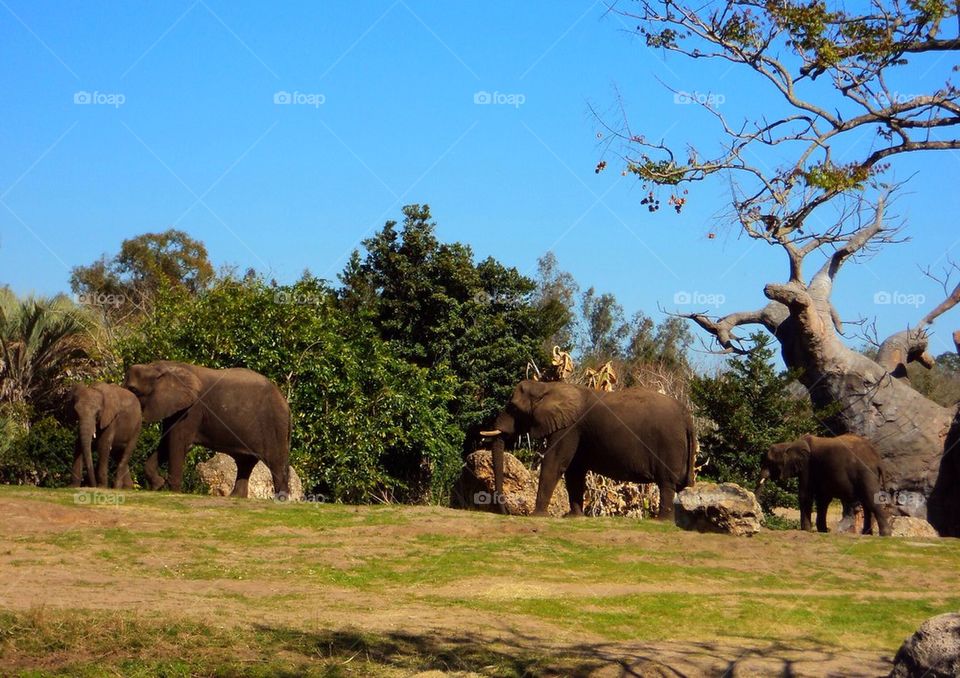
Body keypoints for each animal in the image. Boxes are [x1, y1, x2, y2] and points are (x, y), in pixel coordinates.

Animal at [124, 362, 290, 500]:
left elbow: (178, 443)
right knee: (246, 462)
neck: (158, 366)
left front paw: (173, 492)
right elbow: (166, 442)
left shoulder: (192, 410)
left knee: (276, 463)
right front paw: (157, 485)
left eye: (133, 390)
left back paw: (281, 500)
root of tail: (286, 404)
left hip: (274, 427)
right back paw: (235, 497)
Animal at [480, 382, 696, 520]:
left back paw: (661, 521)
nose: (506, 513)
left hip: (669, 444)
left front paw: (537, 516)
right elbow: (574, 471)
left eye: (514, 408)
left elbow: (555, 463)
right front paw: (573, 517)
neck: (548, 386)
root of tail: (687, 415)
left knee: (666, 483)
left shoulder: (569, 428)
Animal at [756, 436, 892, 540]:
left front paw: (806, 530)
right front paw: (823, 530)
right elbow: (823, 499)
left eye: (769, 462)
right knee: (867, 503)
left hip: (866, 474)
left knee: (872, 501)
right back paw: (867, 534)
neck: (790, 443)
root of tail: (878, 460)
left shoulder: (807, 466)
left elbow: (805, 495)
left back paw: (885, 535)